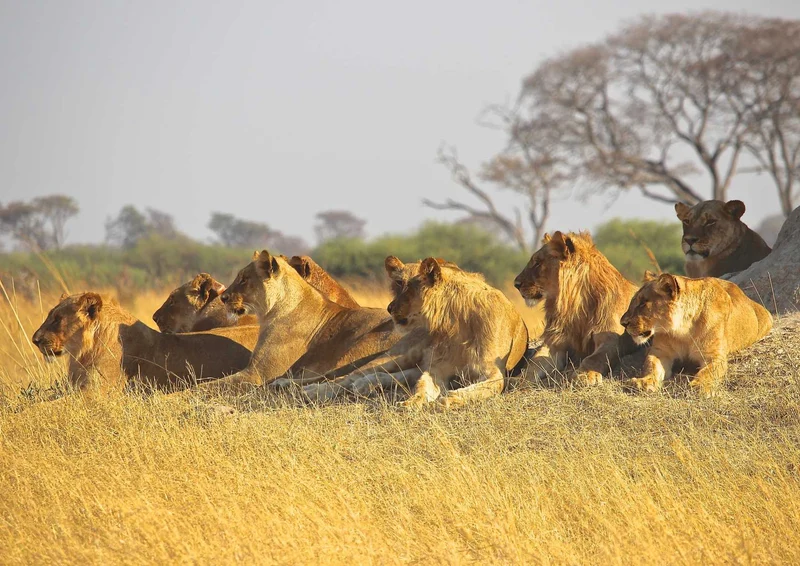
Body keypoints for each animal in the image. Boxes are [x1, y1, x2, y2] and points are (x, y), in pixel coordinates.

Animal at [201, 250, 399, 393]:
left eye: (243, 279)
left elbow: (210, 384)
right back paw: (283, 384)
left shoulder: (257, 373)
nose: (223, 298)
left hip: (357, 347)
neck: (270, 312)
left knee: (342, 376)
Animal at [385, 257, 528, 408]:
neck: (458, 322)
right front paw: (410, 402)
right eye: (399, 283)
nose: (389, 308)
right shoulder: (438, 367)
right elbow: (422, 386)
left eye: (410, 288)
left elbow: (475, 390)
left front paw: (446, 400)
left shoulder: (494, 372)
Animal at [513, 231, 639, 386]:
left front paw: (584, 375)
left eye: (538, 262)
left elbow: (594, 358)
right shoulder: (555, 342)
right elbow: (535, 363)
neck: (575, 306)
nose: (516, 284)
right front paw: (518, 380)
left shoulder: (612, 340)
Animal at [621, 271, 773, 396]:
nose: (623, 323)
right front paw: (643, 382)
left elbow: (708, 372)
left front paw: (699, 386)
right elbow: (651, 366)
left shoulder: (714, 356)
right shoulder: (660, 352)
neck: (683, 330)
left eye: (643, 303)